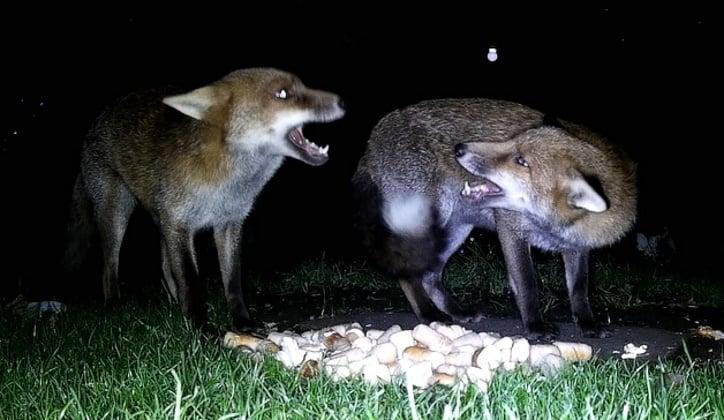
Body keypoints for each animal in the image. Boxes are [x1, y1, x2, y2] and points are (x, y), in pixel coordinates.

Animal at [64, 68, 345, 330]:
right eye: (283, 94)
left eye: (302, 86)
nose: (342, 101)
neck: (225, 187)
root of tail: (99, 119)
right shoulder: (179, 225)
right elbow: (191, 282)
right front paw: (202, 330)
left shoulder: (229, 223)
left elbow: (232, 282)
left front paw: (242, 322)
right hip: (117, 214)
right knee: (109, 269)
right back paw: (114, 307)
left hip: (159, 222)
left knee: (164, 267)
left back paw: (174, 306)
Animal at [352, 98, 636, 339]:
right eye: (512, 142)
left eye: (521, 161)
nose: (459, 148)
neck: (552, 227)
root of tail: (375, 135)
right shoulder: (509, 228)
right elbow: (527, 283)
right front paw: (535, 327)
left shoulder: (577, 245)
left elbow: (579, 288)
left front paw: (587, 323)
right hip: (426, 223)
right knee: (410, 274)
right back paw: (429, 314)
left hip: (455, 231)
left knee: (430, 276)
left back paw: (457, 312)